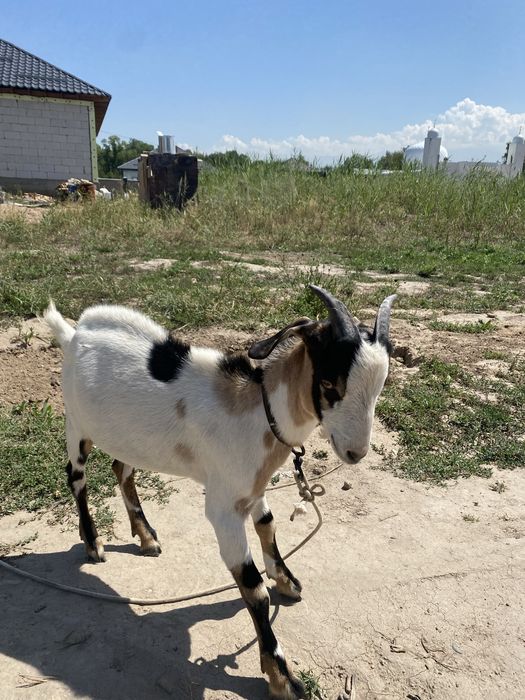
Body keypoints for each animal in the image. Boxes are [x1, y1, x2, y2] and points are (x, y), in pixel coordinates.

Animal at [44, 285, 395, 700]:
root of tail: (73, 333)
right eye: (329, 385)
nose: (356, 452)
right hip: (76, 423)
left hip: (128, 437)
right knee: (76, 477)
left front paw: (286, 578)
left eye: (380, 387)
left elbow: (268, 525)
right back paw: (93, 544)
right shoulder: (223, 508)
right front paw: (281, 677)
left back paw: (146, 536)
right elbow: (253, 590)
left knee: (121, 468)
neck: (257, 412)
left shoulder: (251, 486)